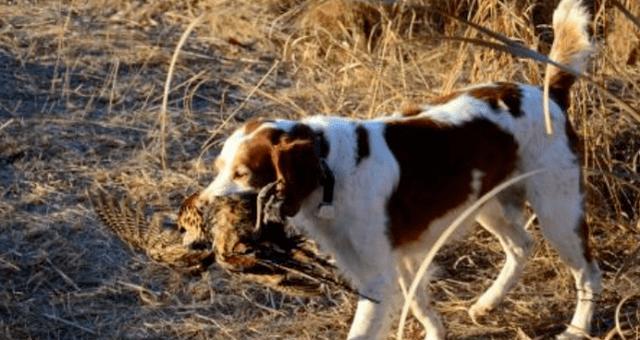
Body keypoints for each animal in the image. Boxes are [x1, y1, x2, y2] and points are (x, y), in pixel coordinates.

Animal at [185, 0, 600, 338]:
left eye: (242, 174)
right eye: (219, 168)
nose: (198, 209)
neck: (330, 171)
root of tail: (549, 95)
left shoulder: (377, 277)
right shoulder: (400, 260)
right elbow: (419, 304)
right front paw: (436, 334)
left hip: (558, 210)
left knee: (588, 273)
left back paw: (577, 330)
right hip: (488, 204)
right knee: (521, 246)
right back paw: (488, 303)